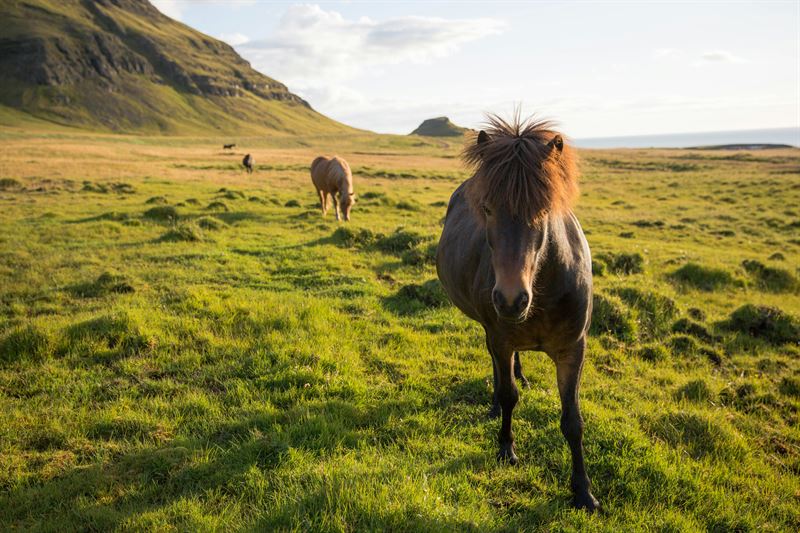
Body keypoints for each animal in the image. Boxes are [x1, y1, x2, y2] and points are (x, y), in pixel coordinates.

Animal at [436, 114, 599, 511]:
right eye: (487, 209)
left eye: (544, 210)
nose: (511, 299)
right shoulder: (501, 336)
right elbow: (510, 395)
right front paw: (506, 448)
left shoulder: (573, 350)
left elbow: (573, 420)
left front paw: (582, 490)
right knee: (496, 364)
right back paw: (496, 400)